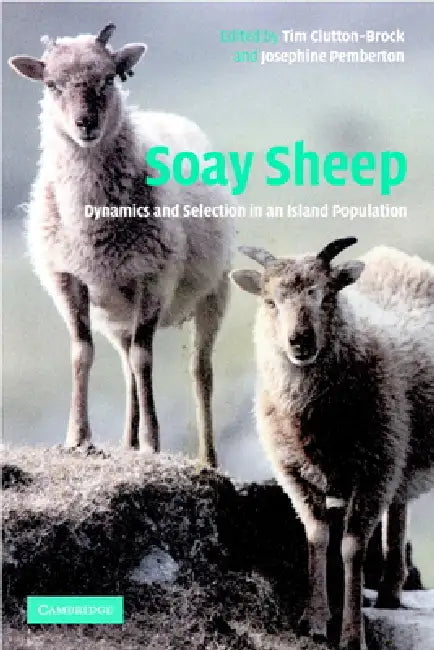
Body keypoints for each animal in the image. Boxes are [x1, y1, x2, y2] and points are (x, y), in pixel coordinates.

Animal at [8, 24, 233, 467]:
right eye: (51, 84)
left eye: (109, 78)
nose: (85, 124)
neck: (92, 226)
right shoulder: (67, 279)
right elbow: (82, 353)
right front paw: (78, 437)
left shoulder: (154, 277)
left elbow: (145, 359)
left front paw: (151, 441)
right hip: (114, 310)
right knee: (126, 365)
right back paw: (126, 441)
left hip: (213, 292)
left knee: (199, 372)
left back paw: (207, 458)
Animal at [230, 237, 434, 649]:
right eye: (270, 301)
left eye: (326, 296)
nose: (300, 341)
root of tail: (394, 256)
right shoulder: (293, 472)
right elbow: (317, 536)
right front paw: (315, 620)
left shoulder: (375, 469)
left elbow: (352, 547)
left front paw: (352, 635)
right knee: (399, 507)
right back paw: (389, 592)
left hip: (395, 447)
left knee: (397, 508)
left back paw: (389, 590)